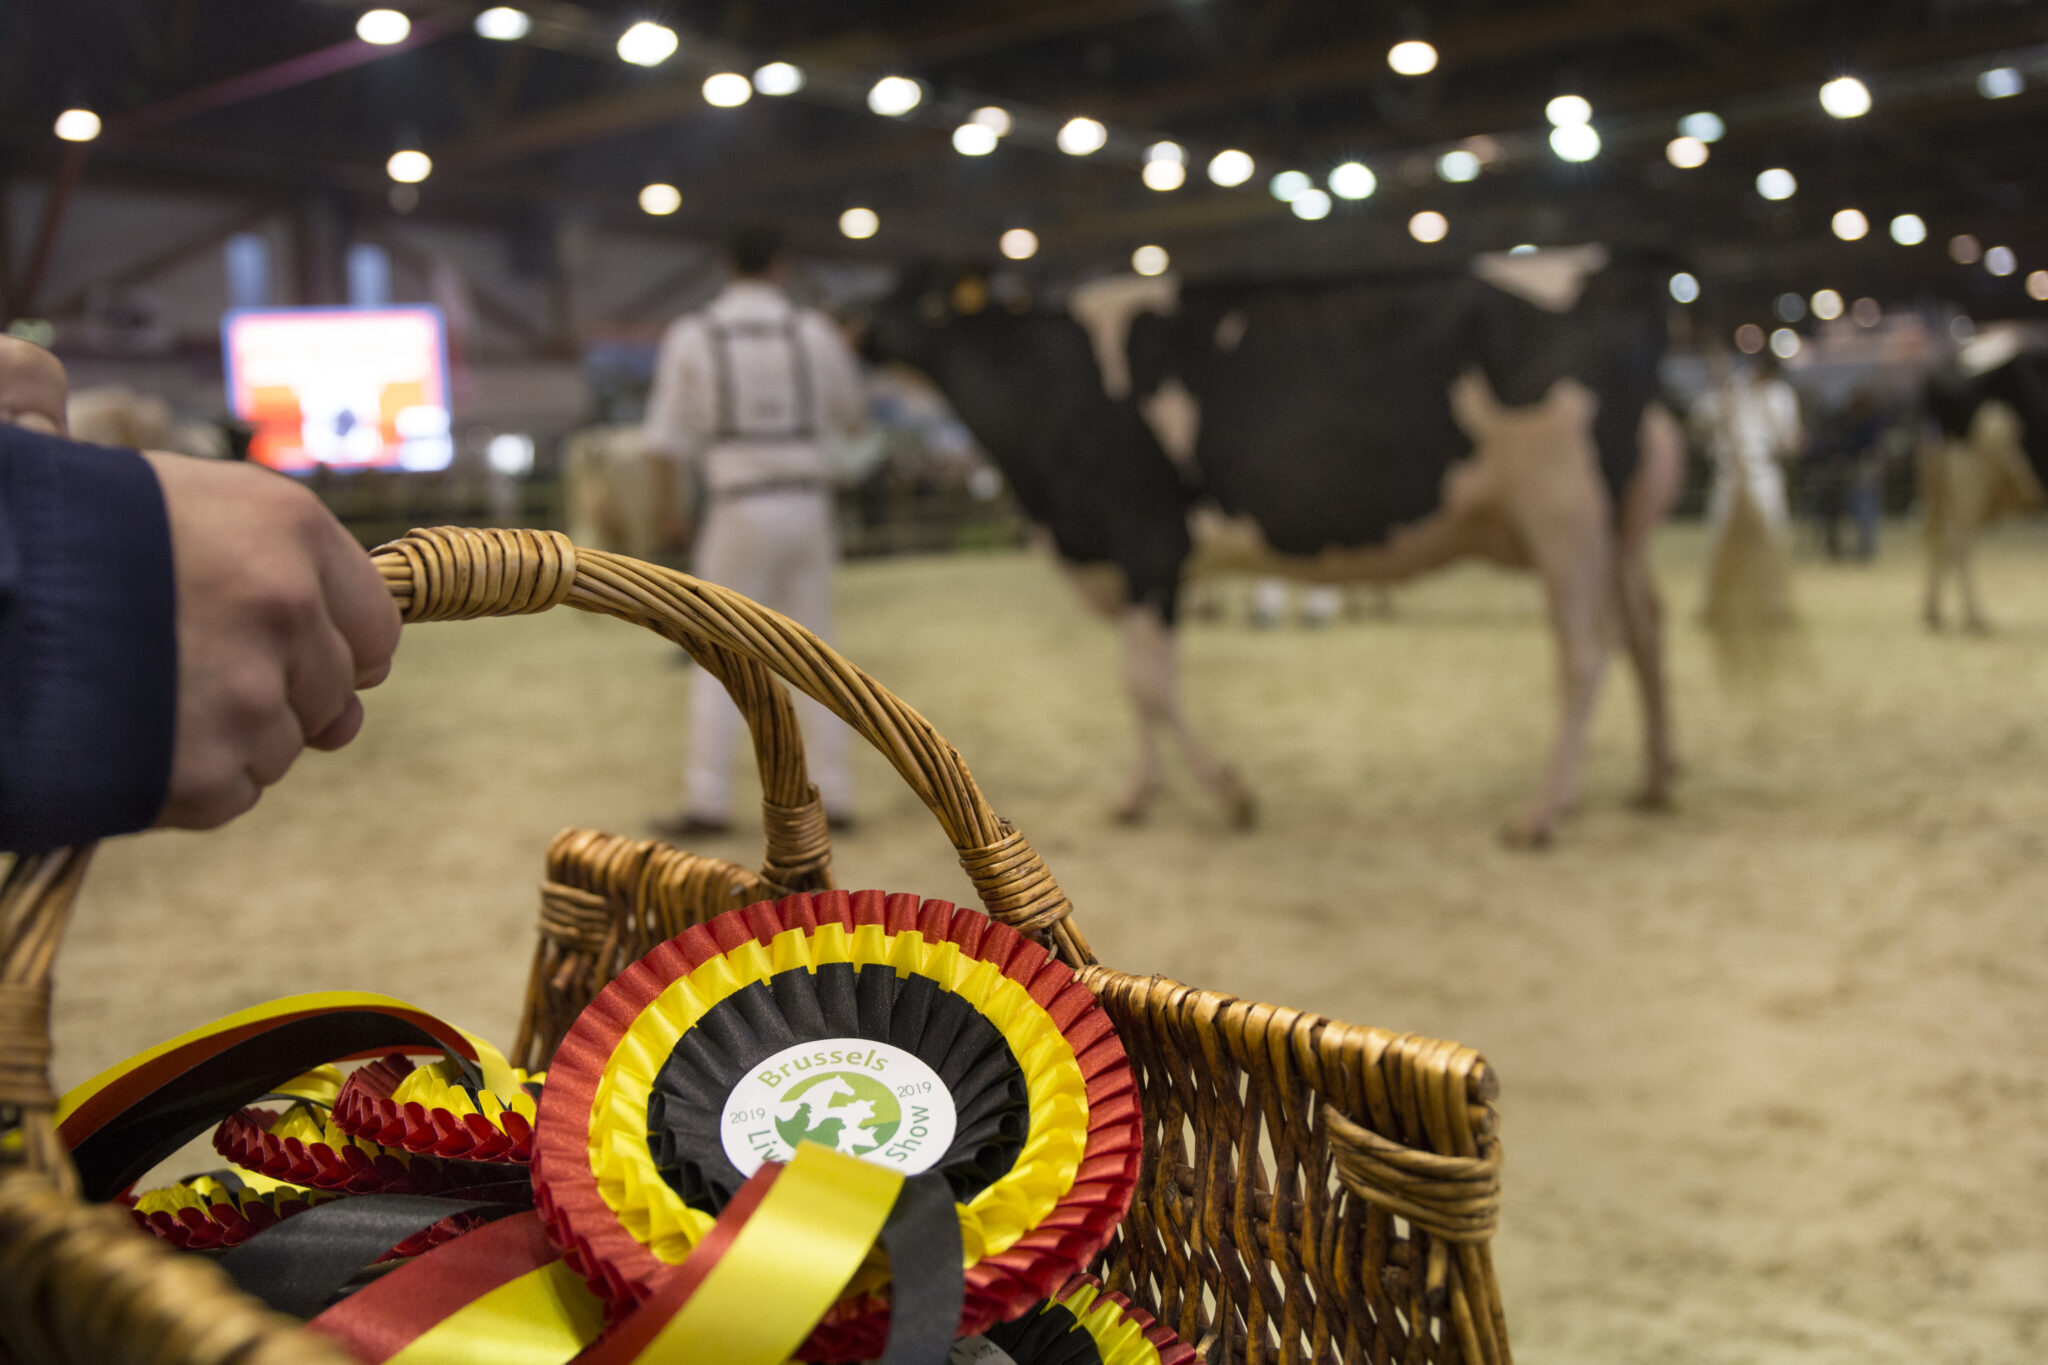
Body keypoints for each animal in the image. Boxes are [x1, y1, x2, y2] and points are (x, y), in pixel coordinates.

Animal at [864, 248, 1679, 843]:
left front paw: (1227, 793)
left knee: (1585, 651)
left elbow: (1148, 684)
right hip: (1618, 530)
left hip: (1564, 512)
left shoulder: (1148, 540)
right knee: (1644, 628)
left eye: (915, 296)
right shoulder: (1129, 563)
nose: (851, 324)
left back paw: (1541, 813)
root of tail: (1614, 267)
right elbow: (1137, 685)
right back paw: (1653, 779)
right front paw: (1138, 795)